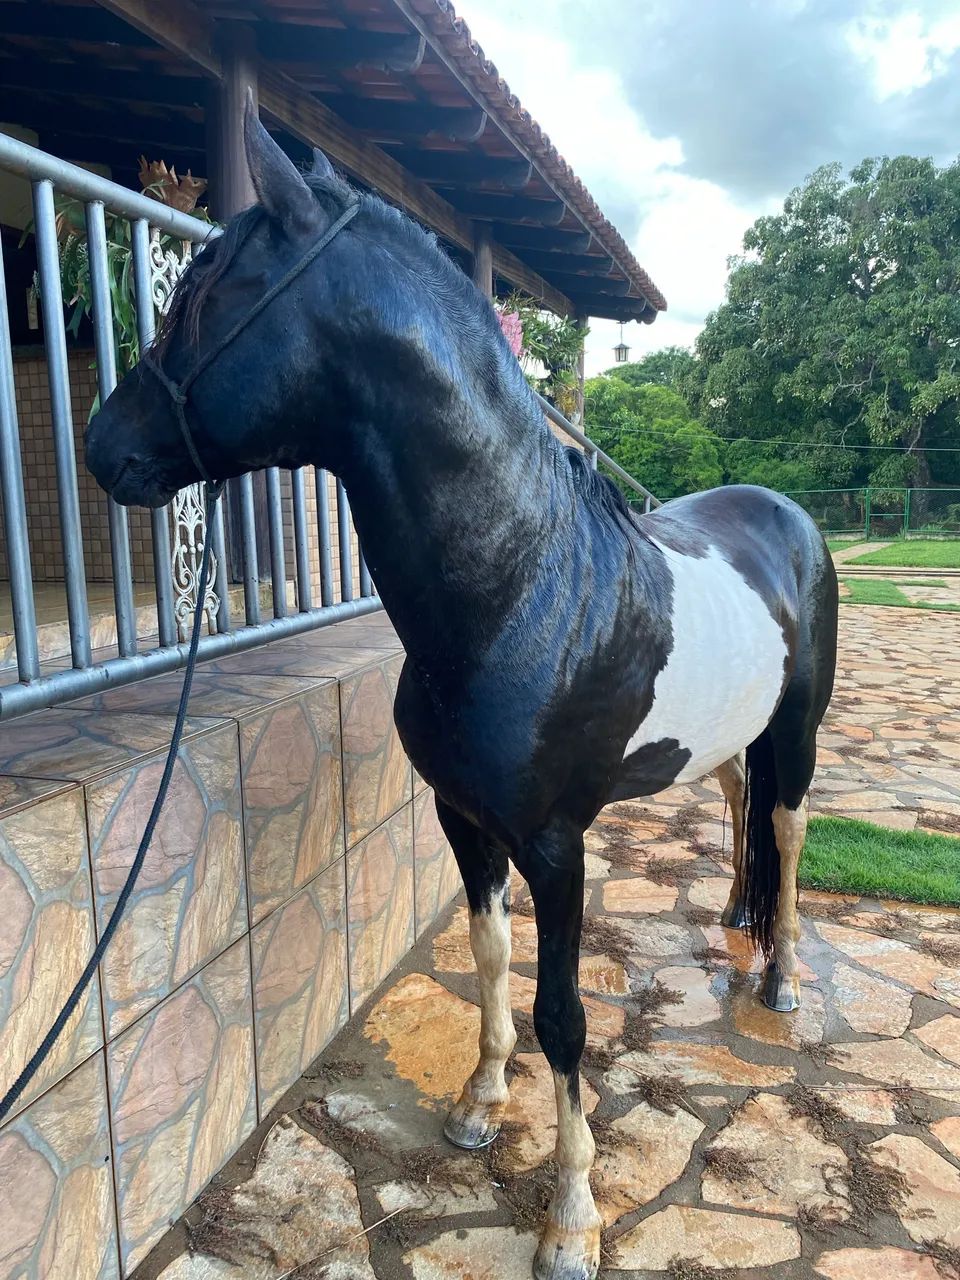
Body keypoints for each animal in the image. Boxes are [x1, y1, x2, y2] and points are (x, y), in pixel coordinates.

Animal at [85, 100, 838, 1280]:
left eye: (202, 290)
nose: (100, 444)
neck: (520, 590)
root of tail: (787, 513)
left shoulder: (559, 846)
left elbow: (564, 1013)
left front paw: (569, 1218)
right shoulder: (462, 817)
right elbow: (490, 959)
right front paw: (481, 1105)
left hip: (799, 735)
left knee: (791, 831)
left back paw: (784, 975)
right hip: (731, 739)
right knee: (736, 803)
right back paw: (731, 917)